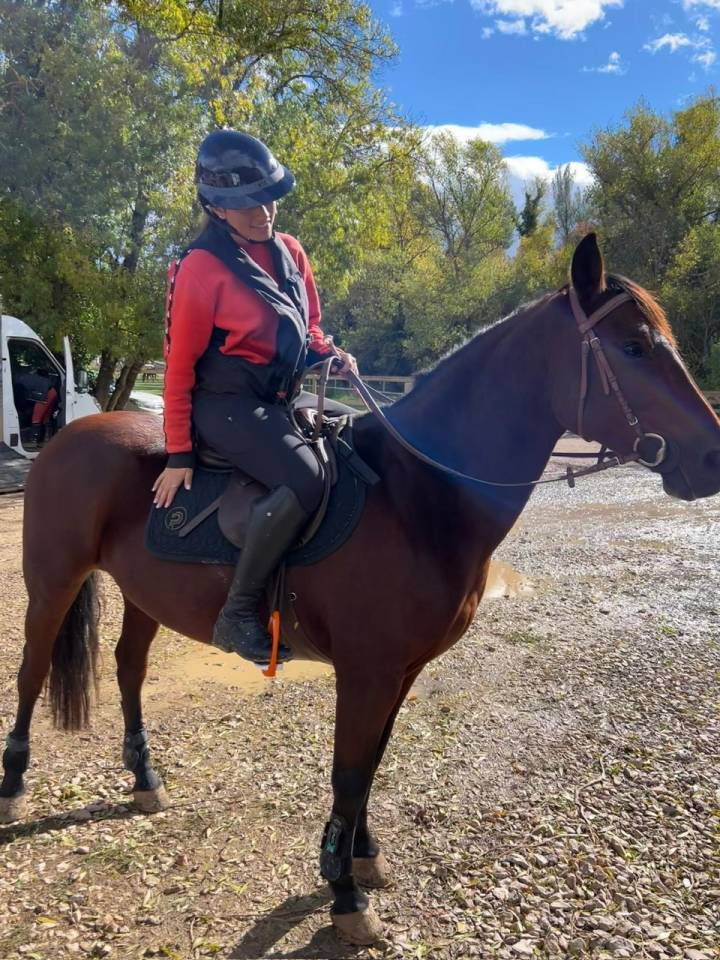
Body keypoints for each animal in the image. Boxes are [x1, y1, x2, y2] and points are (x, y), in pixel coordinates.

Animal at [2, 234, 719, 944]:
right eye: (635, 347)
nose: (711, 455)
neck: (416, 494)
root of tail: (72, 433)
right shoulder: (366, 671)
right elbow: (349, 771)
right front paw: (343, 892)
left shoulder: (401, 670)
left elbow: (373, 762)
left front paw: (361, 856)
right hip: (54, 581)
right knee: (32, 670)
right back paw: (14, 782)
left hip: (144, 595)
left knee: (128, 667)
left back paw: (144, 777)